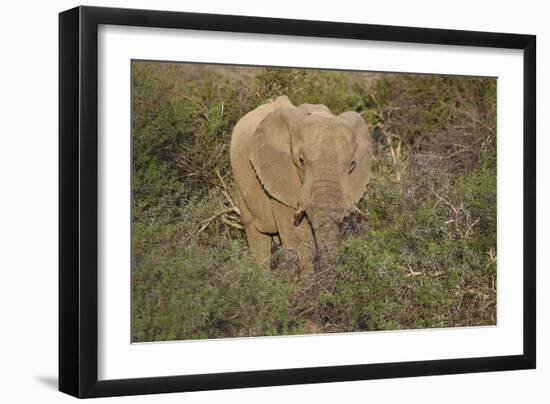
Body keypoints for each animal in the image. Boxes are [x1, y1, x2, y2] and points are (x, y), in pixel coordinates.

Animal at [229, 95, 376, 286]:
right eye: (300, 160)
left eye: (352, 165)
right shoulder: (279, 175)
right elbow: (299, 238)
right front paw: (306, 288)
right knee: (257, 236)